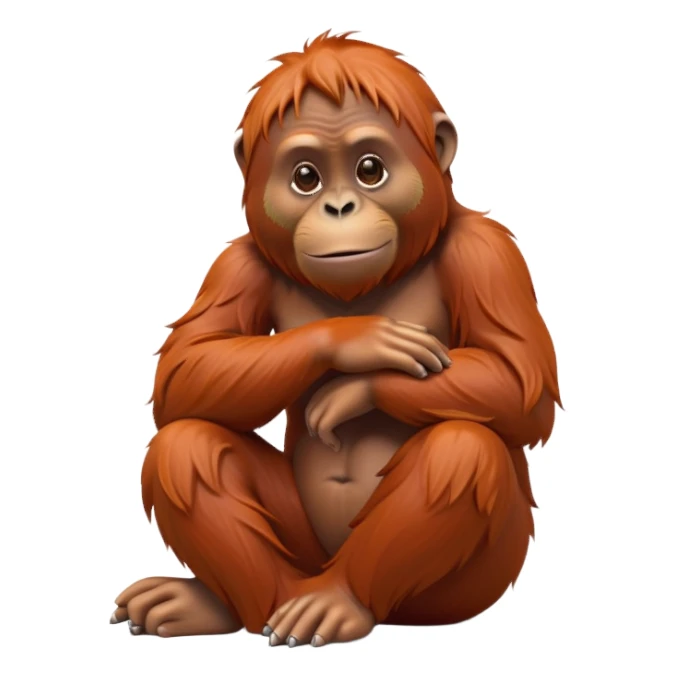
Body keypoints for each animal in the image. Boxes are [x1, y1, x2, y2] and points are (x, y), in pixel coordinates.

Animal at [111, 31, 560, 648]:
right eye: (306, 178)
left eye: (370, 169)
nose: (340, 206)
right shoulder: (238, 263)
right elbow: (185, 370)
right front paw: (356, 341)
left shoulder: (488, 252)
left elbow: (521, 385)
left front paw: (355, 389)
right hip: (301, 552)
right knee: (187, 446)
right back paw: (227, 605)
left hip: (459, 589)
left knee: (463, 449)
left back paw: (339, 603)